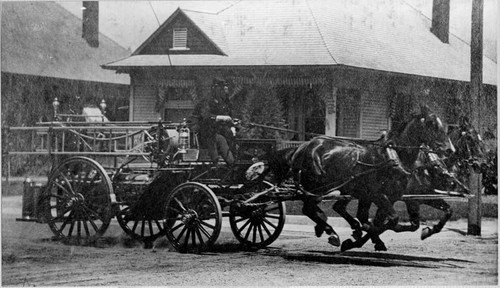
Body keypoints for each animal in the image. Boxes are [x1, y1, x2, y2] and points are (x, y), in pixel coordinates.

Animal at [268, 106, 456, 248]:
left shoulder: (393, 197)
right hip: (317, 187)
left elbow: (388, 222)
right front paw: (358, 239)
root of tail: (303, 147)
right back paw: (330, 231)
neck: (393, 156)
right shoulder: (381, 196)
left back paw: (331, 227)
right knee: (309, 208)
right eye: (432, 125)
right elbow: (390, 220)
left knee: (327, 208)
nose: (450, 149)